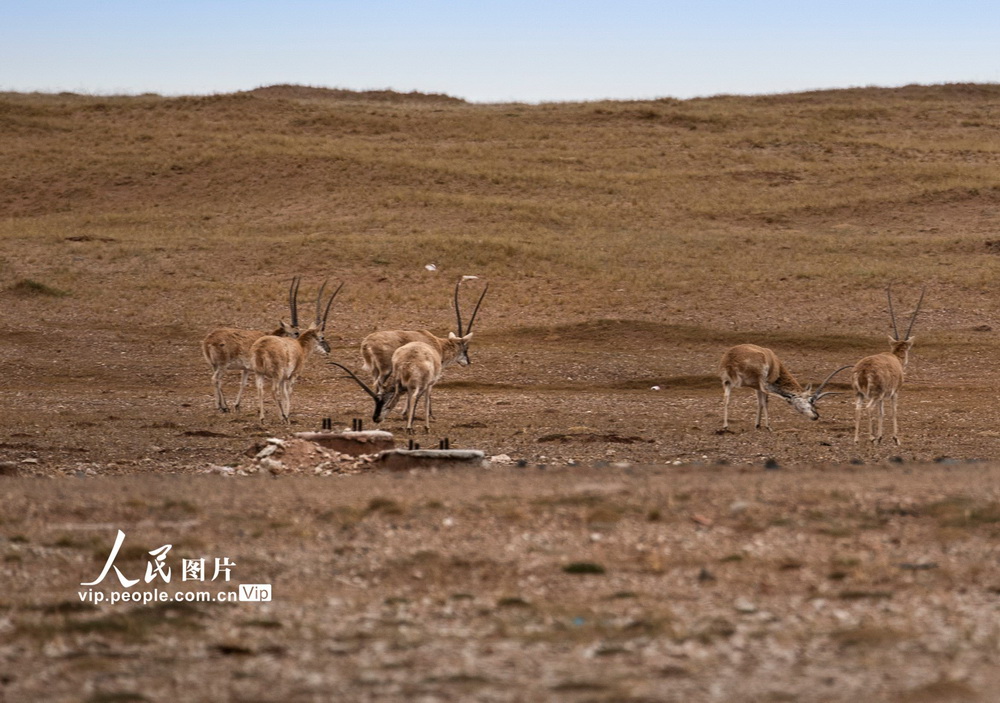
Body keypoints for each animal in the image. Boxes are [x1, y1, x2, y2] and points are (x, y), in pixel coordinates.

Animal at [200, 278, 300, 416]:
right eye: (296, 332)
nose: (297, 345)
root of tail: (208, 340)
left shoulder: (246, 369)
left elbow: (243, 384)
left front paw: (237, 405)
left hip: (214, 365)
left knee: (218, 381)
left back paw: (224, 405)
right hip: (222, 366)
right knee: (215, 379)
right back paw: (221, 407)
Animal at [250, 280, 344, 424]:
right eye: (322, 337)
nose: (328, 349)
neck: (300, 346)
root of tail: (261, 348)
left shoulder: (284, 379)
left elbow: (284, 393)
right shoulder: (292, 376)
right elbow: (288, 393)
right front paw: (286, 416)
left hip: (259, 374)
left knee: (260, 391)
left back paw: (262, 419)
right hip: (276, 375)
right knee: (273, 391)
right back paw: (283, 417)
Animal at [360, 276, 488, 396]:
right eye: (466, 348)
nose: (468, 362)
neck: (440, 345)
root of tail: (367, 343)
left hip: (376, 370)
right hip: (386, 369)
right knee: (378, 384)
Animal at [716, 344, 848, 432]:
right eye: (811, 400)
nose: (816, 416)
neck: (775, 363)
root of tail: (730, 360)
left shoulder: (755, 387)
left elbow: (759, 403)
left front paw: (757, 425)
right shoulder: (765, 383)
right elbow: (765, 402)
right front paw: (766, 425)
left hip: (727, 383)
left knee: (726, 399)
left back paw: (725, 426)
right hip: (761, 381)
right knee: (768, 396)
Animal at [856, 286, 924, 446]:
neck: (895, 358)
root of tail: (863, 370)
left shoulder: (882, 397)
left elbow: (881, 413)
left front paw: (880, 437)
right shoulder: (894, 393)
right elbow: (893, 411)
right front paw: (895, 438)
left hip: (860, 393)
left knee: (858, 408)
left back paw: (856, 439)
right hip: (874, 394)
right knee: (869, 408)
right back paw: (871, 437)